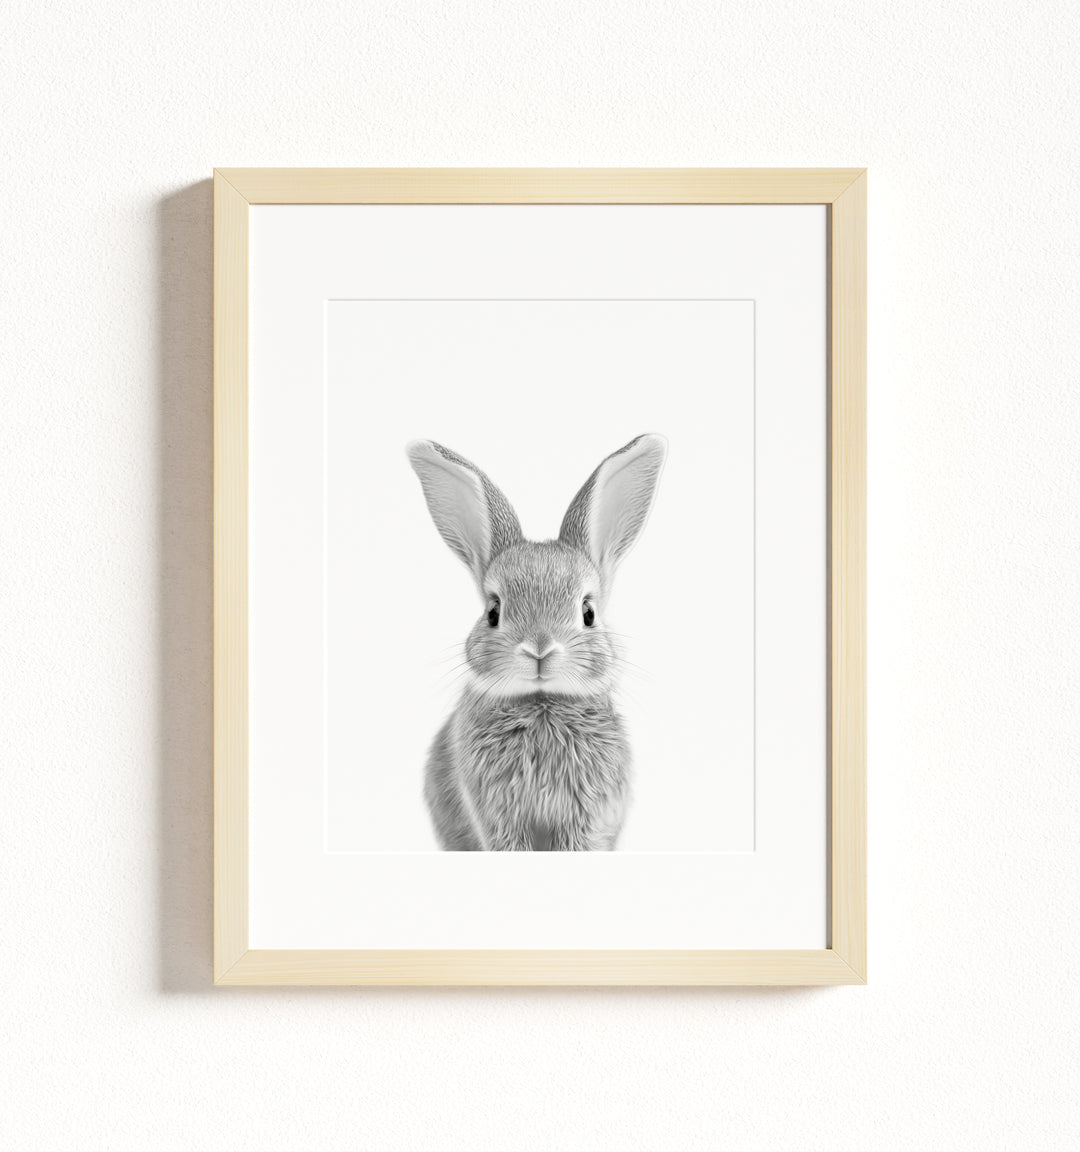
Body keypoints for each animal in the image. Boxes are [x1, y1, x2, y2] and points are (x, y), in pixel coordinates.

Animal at [406, 434, 667, 851]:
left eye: (588, 613)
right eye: (493, 612)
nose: (540, 649)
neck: (542, 702)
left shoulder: (585, 816)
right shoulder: (497, 814)